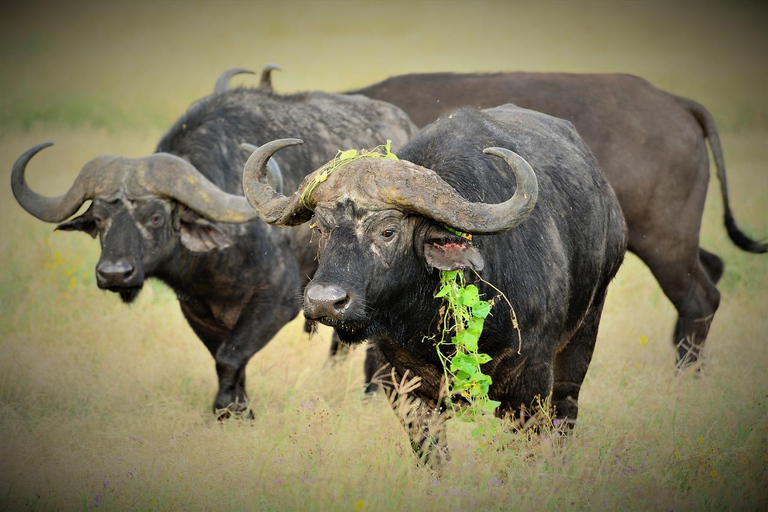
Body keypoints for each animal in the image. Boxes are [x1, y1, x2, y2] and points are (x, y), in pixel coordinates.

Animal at [12, 67, 416, 416]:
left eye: (155, 216)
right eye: (98, 221)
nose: (114, 273)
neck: (216, 262)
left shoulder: (279, 300)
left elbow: (230, 355)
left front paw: (229, 408)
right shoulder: (195, 308)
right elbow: (223, 357)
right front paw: (236, 408)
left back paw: (373, 393)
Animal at [243, 105, 628, 464]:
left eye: (388, 231)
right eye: (321, 229)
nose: (325, 301)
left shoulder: (528, 383)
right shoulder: (403, 385)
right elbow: (432, 455)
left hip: (586, 326)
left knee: (566, 411)